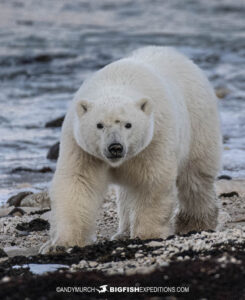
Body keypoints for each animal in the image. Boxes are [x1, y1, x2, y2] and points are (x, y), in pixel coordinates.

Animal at [39, 46, 220, 253]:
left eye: (128, 125)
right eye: (99, 125)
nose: (115, 147)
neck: (117, 82)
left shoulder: (155, 139)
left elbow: (152, 181)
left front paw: (148, 234)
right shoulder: (81, 148)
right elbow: (78, 183)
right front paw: (61, 244)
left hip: (198, 121)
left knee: (195, 178)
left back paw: (195, 223)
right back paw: (123, 232)